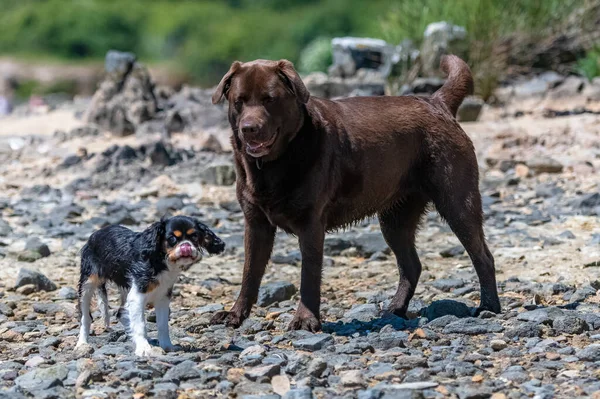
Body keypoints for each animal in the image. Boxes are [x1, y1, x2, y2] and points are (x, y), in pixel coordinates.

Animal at [74, 217, 224, 358]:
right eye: (172, 239)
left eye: (194, 237)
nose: (186, 246)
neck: (159, 260)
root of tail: (95, 234)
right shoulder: (137, 295)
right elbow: (140, 324)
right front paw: (143, 348)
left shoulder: (163, 297)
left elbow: (162, 325)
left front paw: (167, 346)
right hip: (87, 283)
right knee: (85, 317)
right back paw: (82, 343)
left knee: (121, 312)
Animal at [211, 54, 502, 332]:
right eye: (239, 101)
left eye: (270, 99)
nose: (249, 128)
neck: (273, 165)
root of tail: (436, 102)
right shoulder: (256, 224)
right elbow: (250, 272)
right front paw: (235, 314)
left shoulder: (311, 225)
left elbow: (309, 276)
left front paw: (305, 319)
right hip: (395, 219)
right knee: (412, 265)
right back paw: (394, 309)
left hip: (458, 202)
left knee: (483, 256)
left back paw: (488, 307)